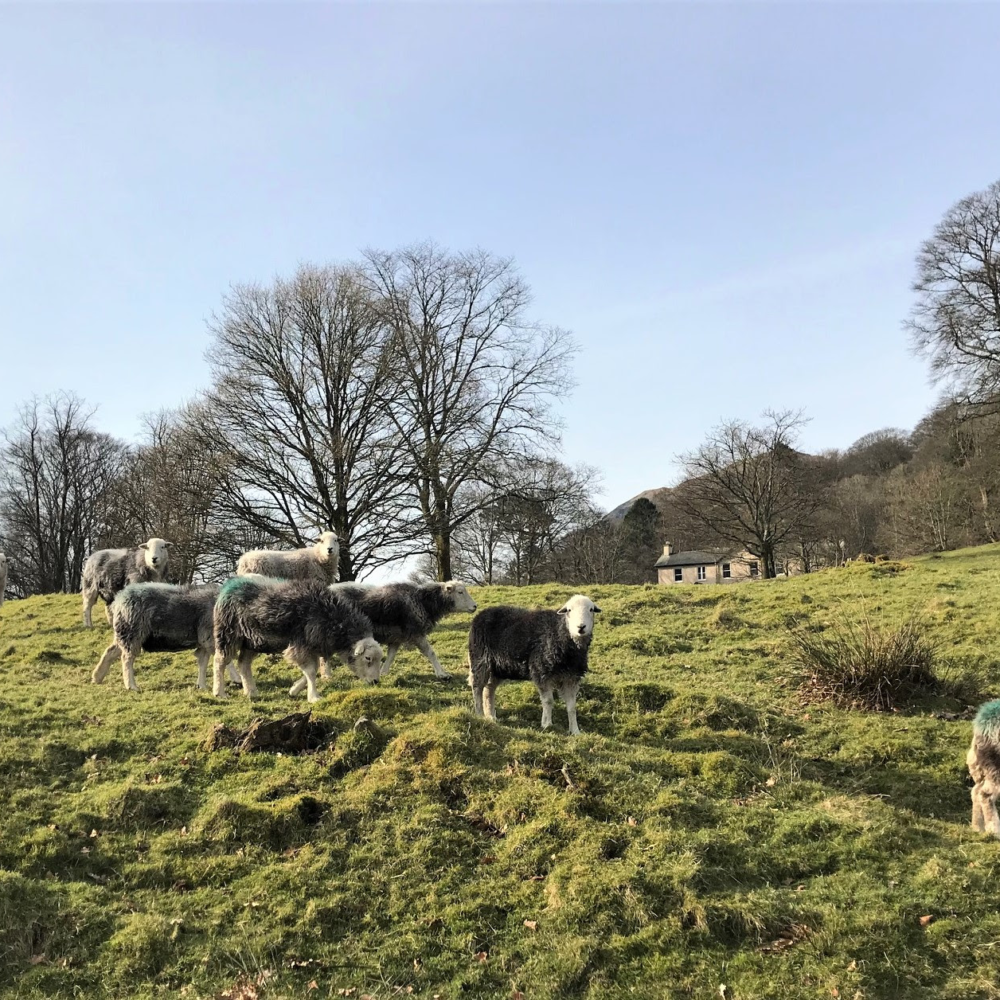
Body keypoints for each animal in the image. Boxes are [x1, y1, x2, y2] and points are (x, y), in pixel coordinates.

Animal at [90, 584, 242, 692]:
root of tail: (119, 599)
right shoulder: (210, 638)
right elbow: (225, 660)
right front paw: (237, 679)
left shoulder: (204, 641)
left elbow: (203, 662)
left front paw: (202, 686)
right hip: (132, 632)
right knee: (126, 659)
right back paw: (131, 685)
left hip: (123, 633)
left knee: (110, 652)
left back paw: (97, 677)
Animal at [212, 576, 382, 708]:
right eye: (367, 658)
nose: (375, 682)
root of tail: (229, 586)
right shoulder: (300, 645)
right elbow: (311, 671)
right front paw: (314, 697)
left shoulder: (312, 646)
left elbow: (312, 670)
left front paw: (294, 690)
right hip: (228, 634)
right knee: (219, 661)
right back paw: (219, 692)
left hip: (252, 641)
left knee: (243, 664)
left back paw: (251, 692)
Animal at [288, 580, 478, 696]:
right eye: (460, 592)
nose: (475, 606)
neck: (423, 601)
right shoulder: (415, 632)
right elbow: (430, 653)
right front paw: (443, 674)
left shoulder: (397, 636)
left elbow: (391, 655)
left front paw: (383, 671)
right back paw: (325, 675)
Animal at [468, 592, 600, 736]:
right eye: (569, 610)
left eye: (591, 609)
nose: (581, 627)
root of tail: (482, 614)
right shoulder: (541, 671)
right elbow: (548, 701)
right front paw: (547, 724)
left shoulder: (572, 677)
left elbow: (571, 707)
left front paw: (575, 730)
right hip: (480, 660)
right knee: (477, 687)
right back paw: (480, 714)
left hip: (498, 667)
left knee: (489, 689)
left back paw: (491, 716)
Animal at [964, 700, 1000, 840]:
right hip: (995, 765)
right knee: (986, 795)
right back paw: (994, 831)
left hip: (984, 766)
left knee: (976, 791)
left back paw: (977, 828)